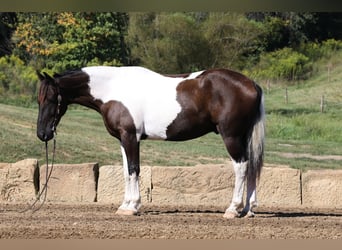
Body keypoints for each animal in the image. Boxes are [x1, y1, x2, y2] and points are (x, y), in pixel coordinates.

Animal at [36, 65, 266, 218]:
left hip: (231, 136)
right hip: (243, 137)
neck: (113, 89)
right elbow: (126, 171)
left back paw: (232, 209)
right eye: (38, 99)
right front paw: (125, 205)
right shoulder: (123, 139)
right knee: (252, 167)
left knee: (241, 166)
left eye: (51, 99)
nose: (42, 134)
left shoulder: (131, 136)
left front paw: (132, 207)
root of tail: (252, 84)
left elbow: (134, 169)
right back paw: (248, 210)